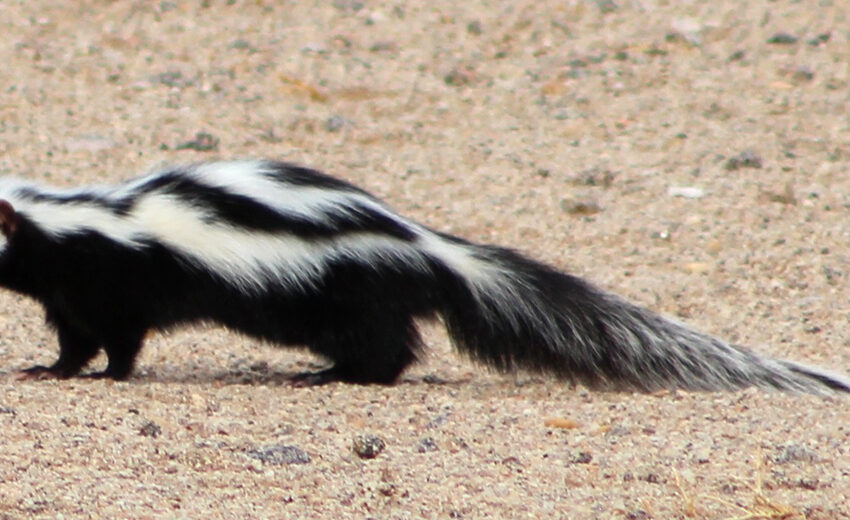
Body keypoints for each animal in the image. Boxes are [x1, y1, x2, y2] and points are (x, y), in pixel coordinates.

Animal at [0, 160, 844, 392]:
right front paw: (50, 368)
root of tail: (426, 244)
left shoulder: (111, 275)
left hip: (337, 292)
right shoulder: (69, 290)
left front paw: (104, 376)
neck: (65, 222)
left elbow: (119, 337)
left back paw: (333, 376)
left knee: (383, 345)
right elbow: (73, 335)